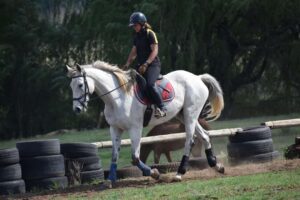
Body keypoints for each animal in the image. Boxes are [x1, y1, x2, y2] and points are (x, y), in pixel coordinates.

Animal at [66, 60, 225, 183]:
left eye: (80, 85)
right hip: (184, 115)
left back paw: (179, 173)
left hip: (190, 114)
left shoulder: (135, 128)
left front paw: (155, 173)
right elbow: (114, 155)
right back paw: (217, 166)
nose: (77, 109)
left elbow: (135, 158)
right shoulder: (115, 128)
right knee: (204, 136)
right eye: (71, 86)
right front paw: (110, 180)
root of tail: (197, 78)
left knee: (190, 141)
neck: (117, 98)